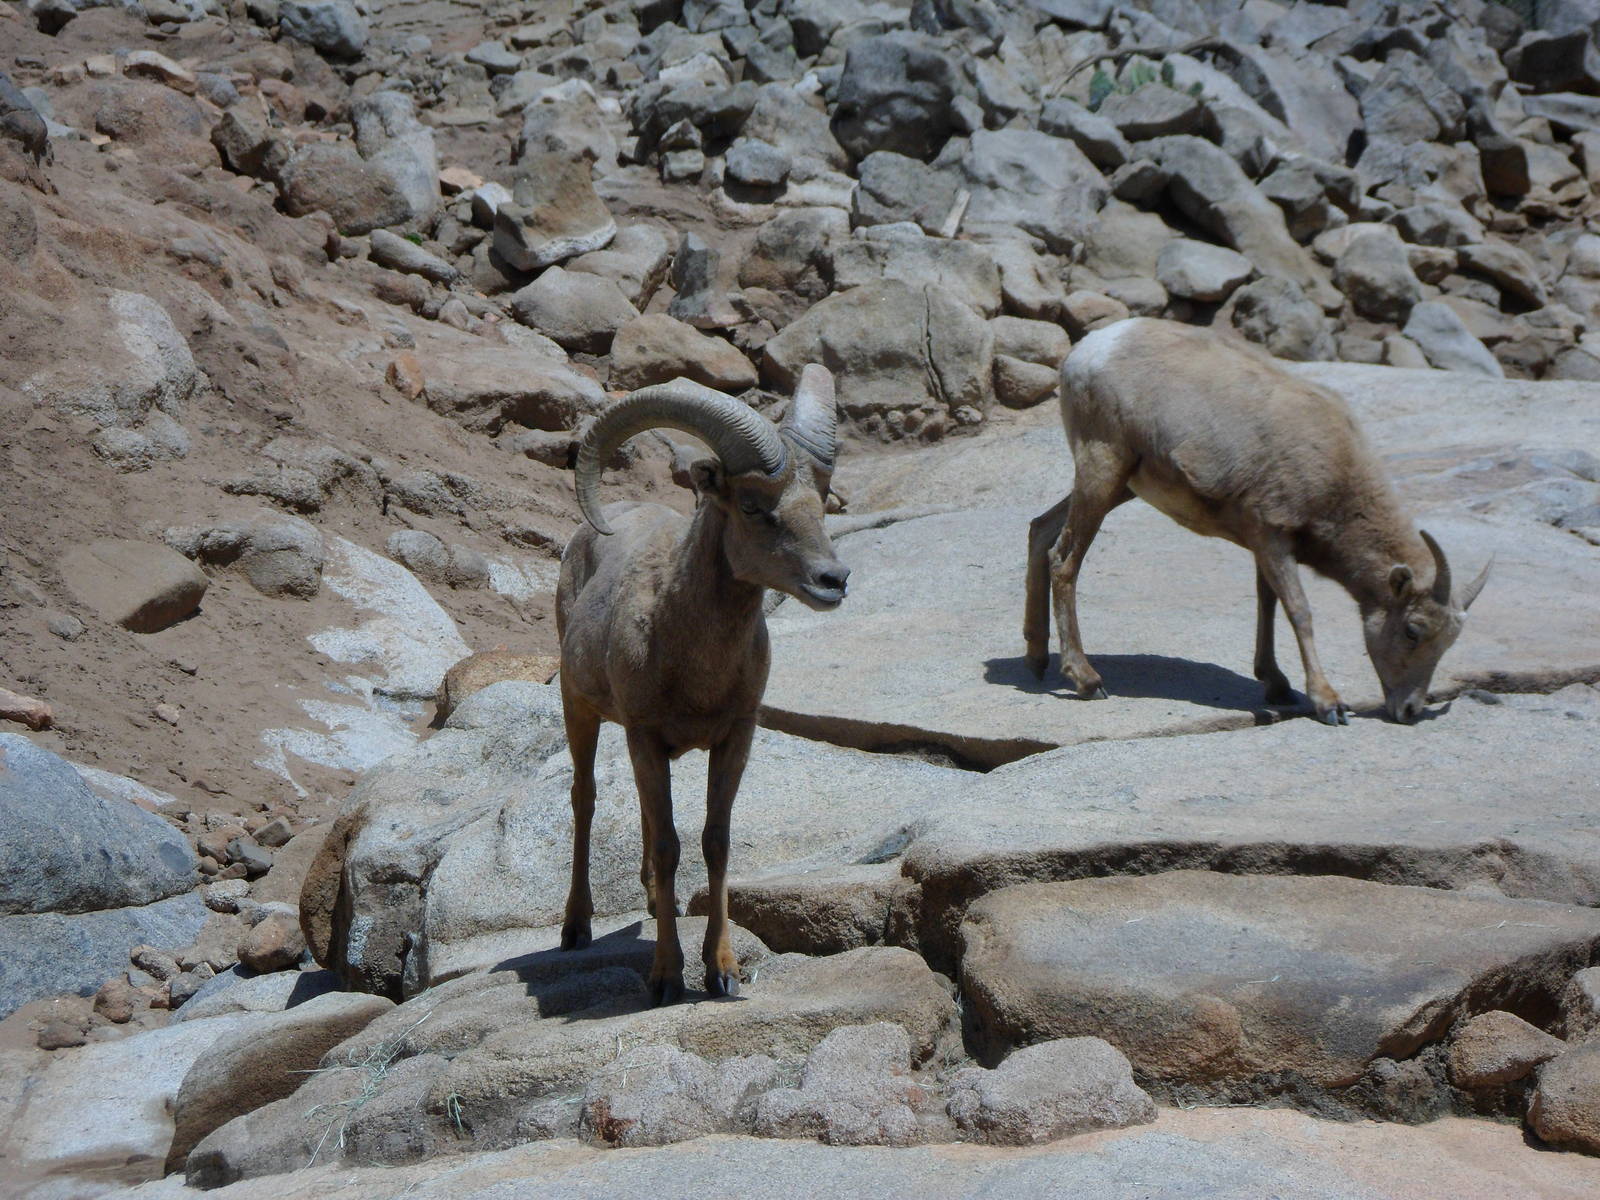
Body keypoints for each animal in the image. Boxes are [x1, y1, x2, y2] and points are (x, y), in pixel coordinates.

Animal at [556, 367, 849, 1005]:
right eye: (752, 505)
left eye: (822, 503)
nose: (833, 580)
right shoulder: (643, 733)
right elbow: (672, 847)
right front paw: (666, 978)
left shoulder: (734, 736)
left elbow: (715, 842)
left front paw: (722, 973)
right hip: (578, 710)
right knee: (585, 801)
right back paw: (575, 929)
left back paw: (644, 901)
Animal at [1024, 318, 1490, 726]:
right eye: (1413, 630)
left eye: (1450, 641)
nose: (1409, 711)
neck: (1337, 477)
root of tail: (1089, 351)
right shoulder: (1273, 535)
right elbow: (1298, 611)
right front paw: (1328, 704)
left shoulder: (1263, 543)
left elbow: (1267, 603)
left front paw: (1277, 685)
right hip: (1103, 469)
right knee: (1064, 560)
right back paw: (1087, 680)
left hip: (1121, 485)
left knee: (1040, 529)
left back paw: (1036, 660)